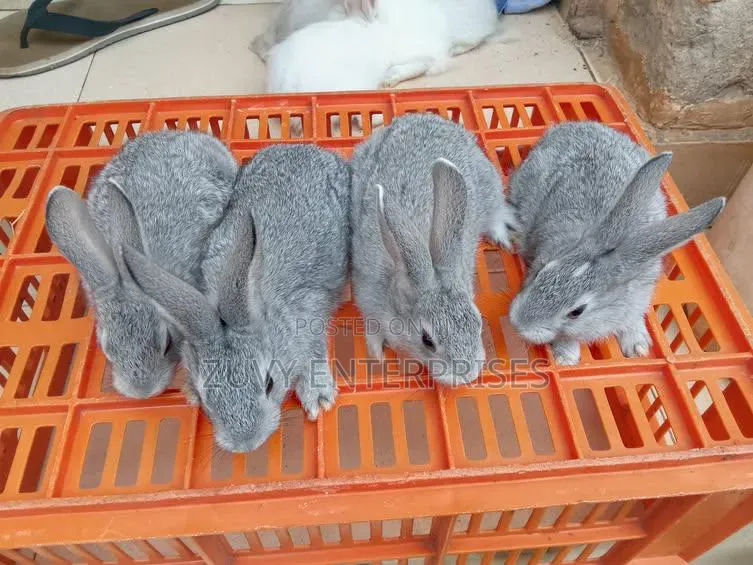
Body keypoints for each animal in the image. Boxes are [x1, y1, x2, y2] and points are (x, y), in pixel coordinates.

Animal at [122, 144, 350, 453]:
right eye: (206, 397)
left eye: (269, 383)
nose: (246, 444)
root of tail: (307, 148)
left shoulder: (309, 310)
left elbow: (312, 352)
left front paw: (318, 396)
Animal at [350, 112, 515, 386]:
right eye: (427, 340)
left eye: (477, 321)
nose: (467, 373)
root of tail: (425, 116)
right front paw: (377, 354)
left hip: (490, 187)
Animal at [507, 121, 726, 366]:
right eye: (541, 272)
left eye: (577, 312)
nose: (518, 323)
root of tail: (572, 126)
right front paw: (566, 358)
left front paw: (638, 347)